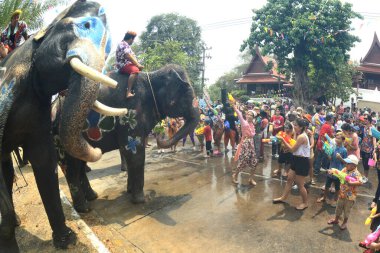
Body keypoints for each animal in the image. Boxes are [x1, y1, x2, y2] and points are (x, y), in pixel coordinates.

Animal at [53, 63, 200, 213]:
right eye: (187, 91)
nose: (159, 134)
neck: (152, 75)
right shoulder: (131, 112)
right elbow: (135, 153)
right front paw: (140, 200)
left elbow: (128, 152)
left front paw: (129, 191)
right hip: (59, 140)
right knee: (71, 168)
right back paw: (84, 209)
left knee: (80, 167)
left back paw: (93, 197)